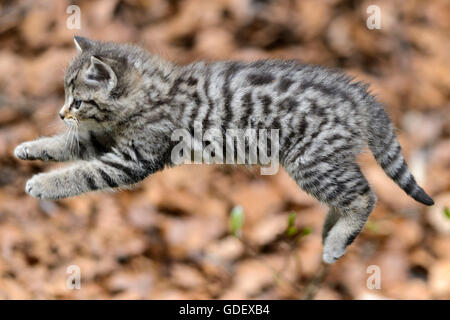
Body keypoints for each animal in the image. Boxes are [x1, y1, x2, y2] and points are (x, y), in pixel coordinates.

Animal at [15, 37, 434, 262]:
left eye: (78, 101)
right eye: (66, 98)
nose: (61, 112)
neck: (154, 94)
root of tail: (361, 96)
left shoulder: (134, 157)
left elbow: (83, 173)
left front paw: (44, 185)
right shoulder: (107, 139)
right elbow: (69, 145)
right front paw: (29, 147)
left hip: (310, 161)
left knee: (364, 195)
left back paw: (334, 243)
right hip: (323, 161)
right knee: (351, 193)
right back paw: (331, 230)